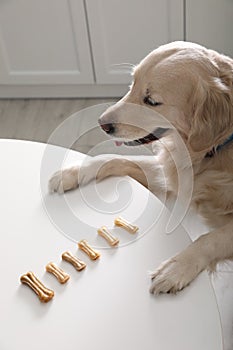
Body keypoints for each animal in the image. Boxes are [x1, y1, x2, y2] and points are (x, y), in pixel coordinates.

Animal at [50, 40, 233, 292]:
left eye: (152, 101)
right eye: (132, 83)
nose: (101, 124)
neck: (213, 151)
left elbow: (209, 239)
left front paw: (176, 268)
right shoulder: (170, 172)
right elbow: (112, 158)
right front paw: (73, 172)